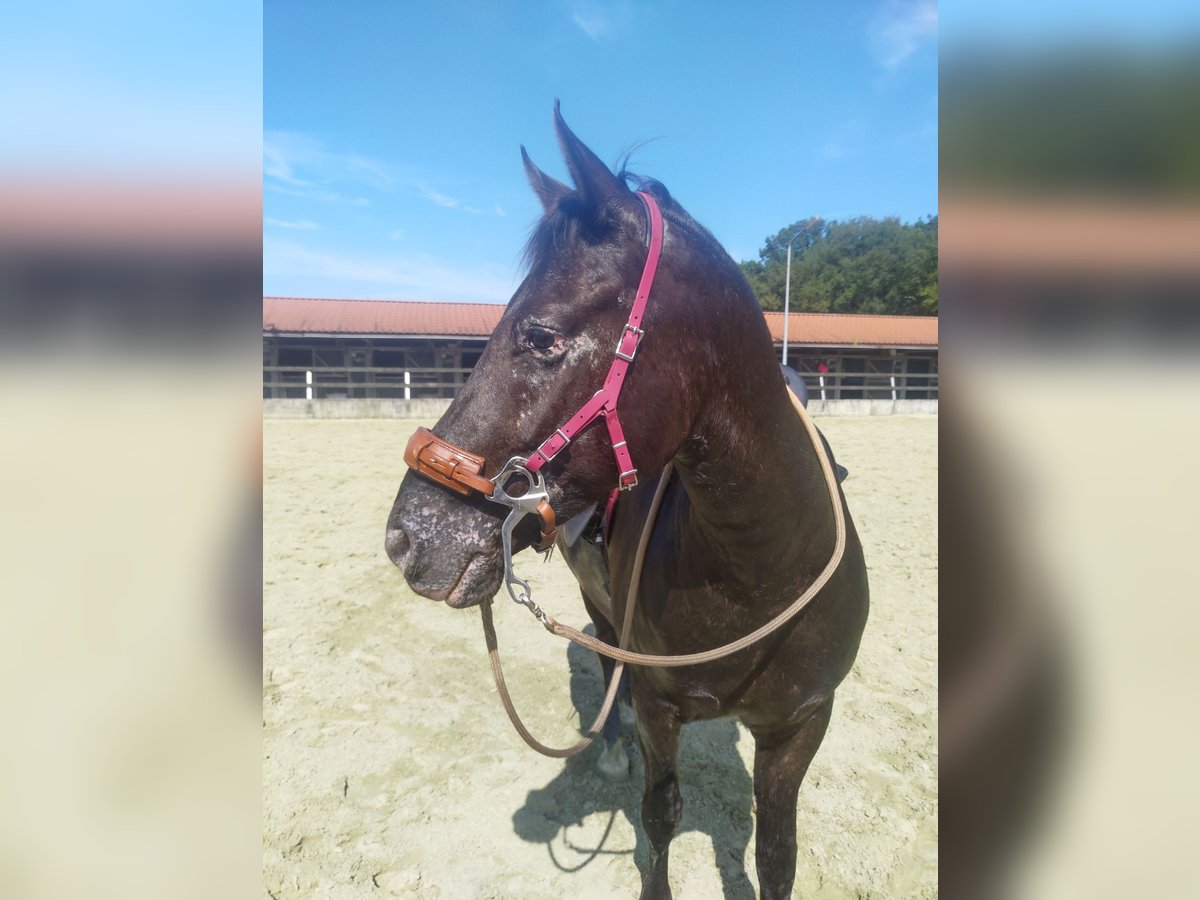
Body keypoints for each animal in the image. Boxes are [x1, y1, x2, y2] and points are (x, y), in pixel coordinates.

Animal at [388, 103, 868, 897]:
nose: (410, 537)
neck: (760, 567)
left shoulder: (801, 725)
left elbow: (778, 853)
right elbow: (660, 816)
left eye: (541, 336)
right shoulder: (657, 704)